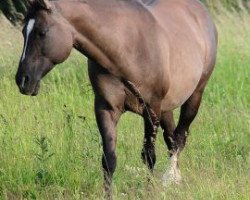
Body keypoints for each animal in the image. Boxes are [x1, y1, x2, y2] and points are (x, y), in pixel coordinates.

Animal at [15, 0, 218, 198]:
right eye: (23, 32)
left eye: (42, 32)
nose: (22, 80)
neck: (124, 49)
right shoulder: (106, 109)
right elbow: (109, 159)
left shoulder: (150, 109)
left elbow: (148, 156)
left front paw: (149, 190)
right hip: (166, 107)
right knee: (171, 139)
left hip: (194, 95)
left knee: (179, 138)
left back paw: (170, 179)